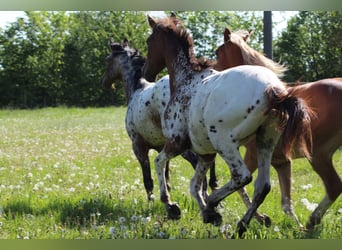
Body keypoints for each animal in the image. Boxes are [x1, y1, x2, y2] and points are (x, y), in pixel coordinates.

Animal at [100, 40, 218, 201]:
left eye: (108, 59)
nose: (103, 81)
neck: (137, 90)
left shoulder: (138, 147)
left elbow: (148, 180)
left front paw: (151, 201)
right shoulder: (161, 147)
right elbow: (166, 176)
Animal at [143, 13, 314, 236]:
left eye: (149, 41)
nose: (146, 72)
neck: (185, 81)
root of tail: (273, 90)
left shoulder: (176, 142)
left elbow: (160, 162)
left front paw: (173, 206)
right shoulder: (206, 153)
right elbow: (194, 185)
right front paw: (208, 215)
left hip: (225, 143)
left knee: (242, 177)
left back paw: (214, 204)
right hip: (265, 141)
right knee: (262, 186)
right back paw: (240, 226)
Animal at [215, 26, 340, 229]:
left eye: (217, 53)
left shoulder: (254, 155)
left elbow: (243, 188)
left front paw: (260, 218)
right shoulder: (281, 162)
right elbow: (286, 202)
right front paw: (291, 225)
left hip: (318, 154)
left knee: (334, 185)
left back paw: (313, 220)